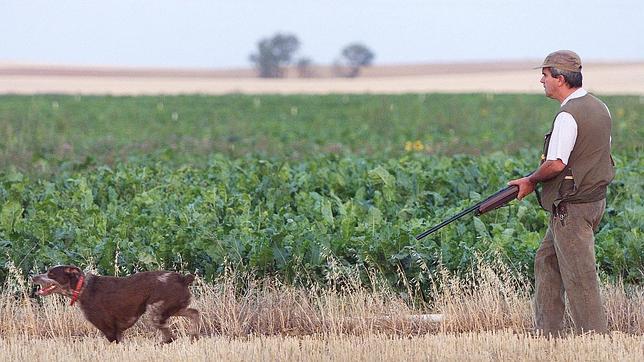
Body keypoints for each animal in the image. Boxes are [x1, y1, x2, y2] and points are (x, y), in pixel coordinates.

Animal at [32, 264, 199, 344]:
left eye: (51, 274)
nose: (33, 277)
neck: (83, 287)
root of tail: (183, 279)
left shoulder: (110, 331)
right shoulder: (118, 332)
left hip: (155, 311)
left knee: (170, 337)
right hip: (172, 308)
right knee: (194, 313)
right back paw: (194, 337)